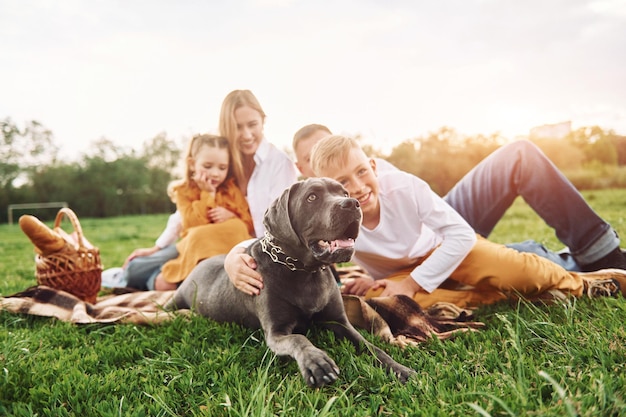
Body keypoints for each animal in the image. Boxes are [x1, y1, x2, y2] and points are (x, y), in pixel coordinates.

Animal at [165, 178, 414, 386]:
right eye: (311, 197)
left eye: (344, 192)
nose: (352, 204)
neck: (304, 272)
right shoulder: (276, 332)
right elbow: (298, 338)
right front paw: (317, 363)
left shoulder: (339, 321)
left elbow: (370, 346)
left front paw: (399, 369)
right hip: (176, 300)